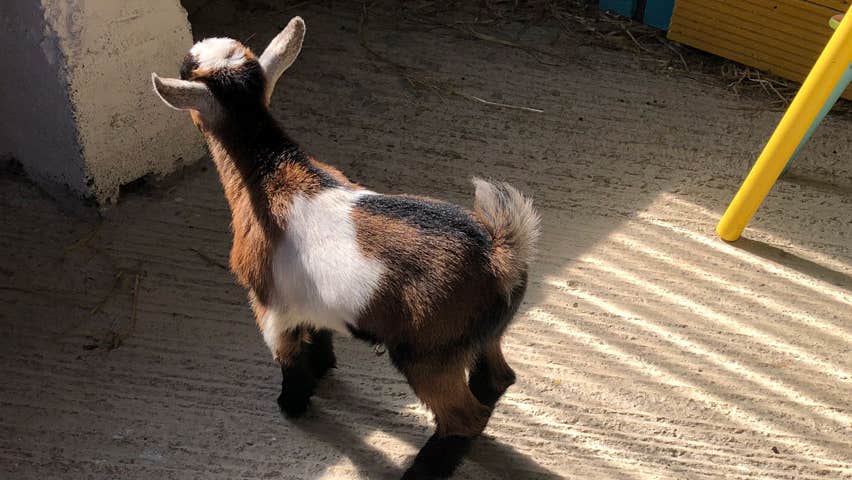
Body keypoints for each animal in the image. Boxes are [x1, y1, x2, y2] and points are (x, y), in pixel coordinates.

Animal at [151, 17, 540, 479]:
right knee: (496, 380)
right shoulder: (310, 300)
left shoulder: (269, 304)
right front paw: (322, 369)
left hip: (428, 354)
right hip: (482, 336)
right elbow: (318, 333)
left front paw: (293, 403)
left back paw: (423, 470)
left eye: (187, 67)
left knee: (464, 415)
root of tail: (498, 254)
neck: (269, 172)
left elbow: (287, 357)